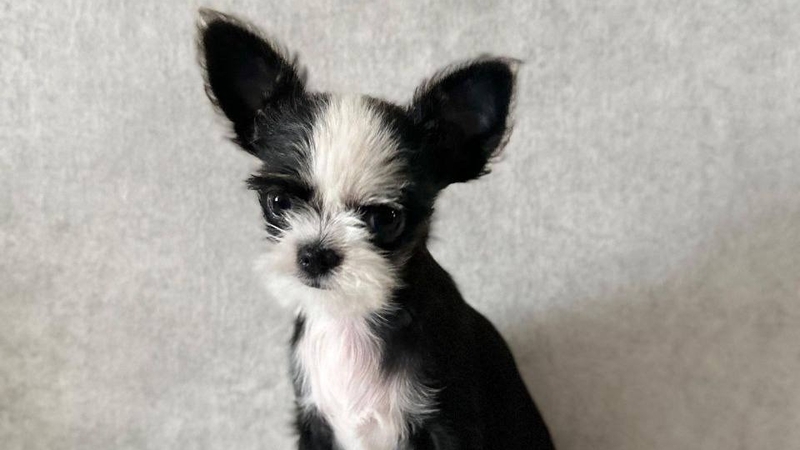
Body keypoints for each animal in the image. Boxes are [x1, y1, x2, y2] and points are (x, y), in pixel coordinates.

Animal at [196, 9, 554, 450]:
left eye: (385, 219)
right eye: (278, 202)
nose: (315, 253)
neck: (350, 317)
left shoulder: (450, 425)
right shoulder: (313, 423)